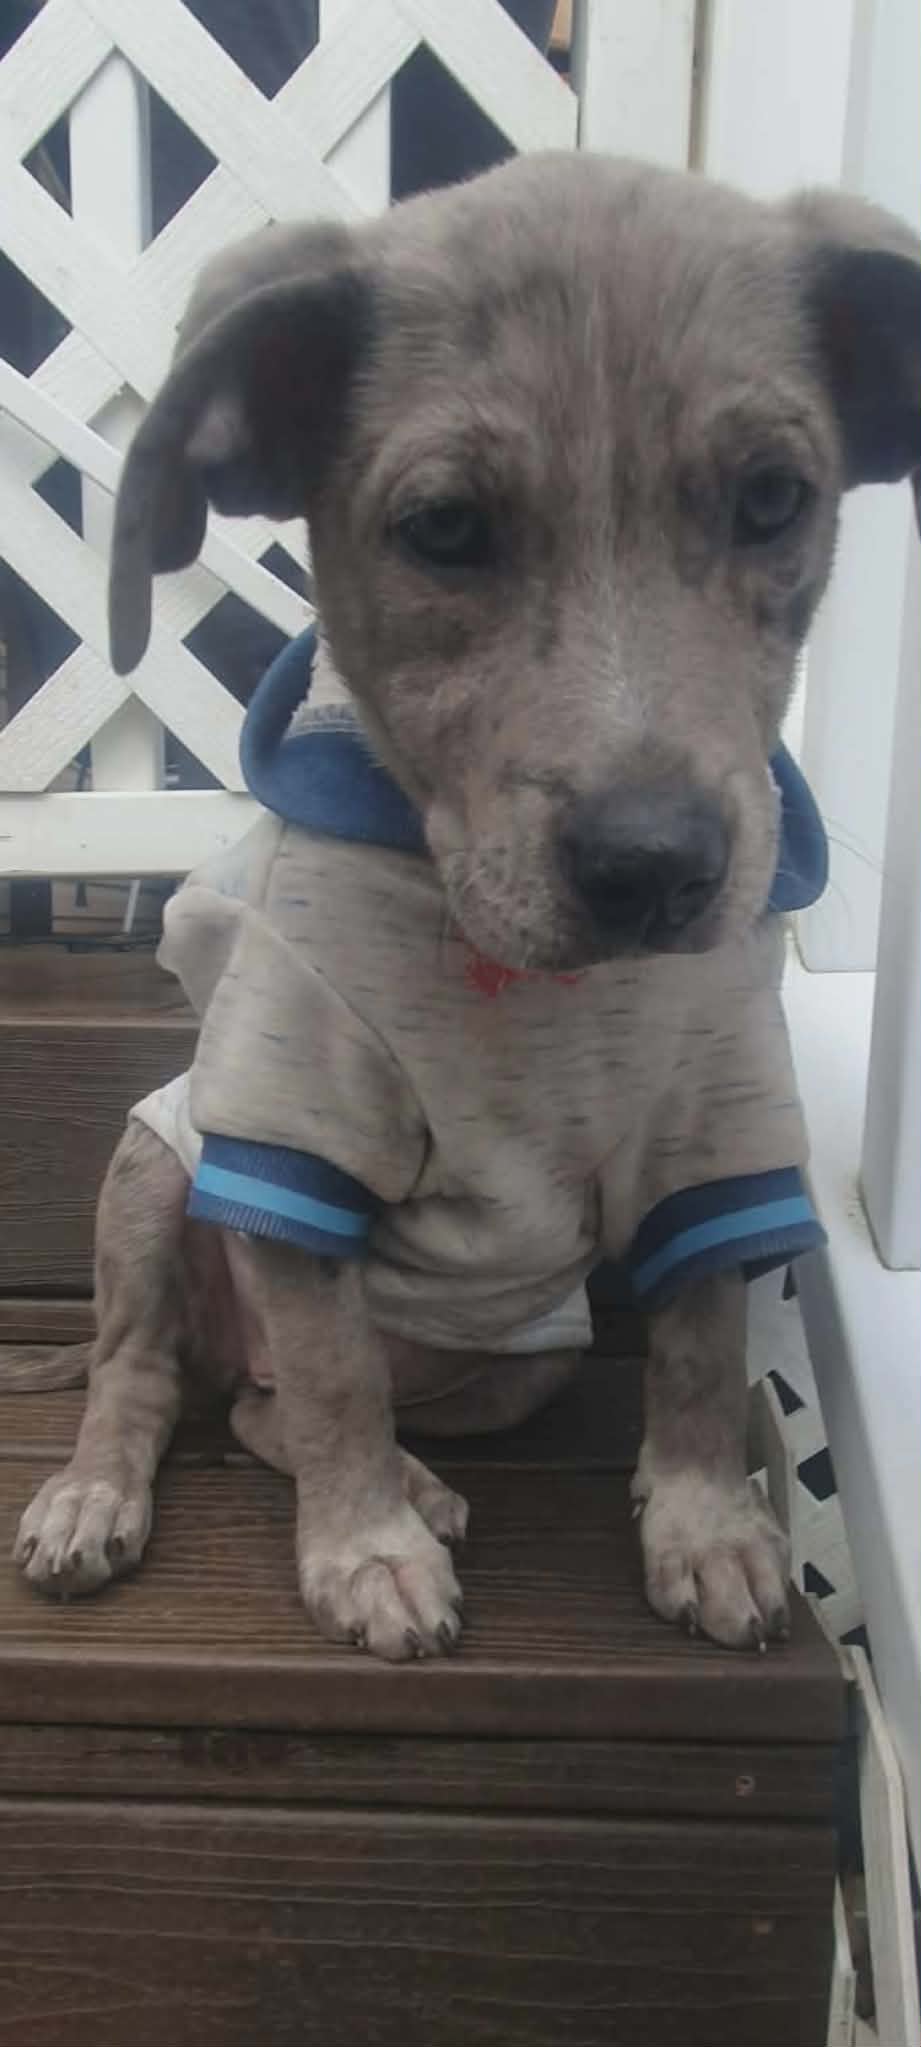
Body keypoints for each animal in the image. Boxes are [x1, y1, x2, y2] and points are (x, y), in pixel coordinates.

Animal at [14, 152, 920, 1662]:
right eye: (443, 528)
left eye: (774, 499)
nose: (655, 865)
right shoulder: (295, 1134)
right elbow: (334, 1375)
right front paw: (364, 1550)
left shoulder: (720, 1120)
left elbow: (700, 1341)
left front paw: (704, 1524)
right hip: (152, 1169)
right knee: (159, 1376)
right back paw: (112, 1493)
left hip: (528, 1361)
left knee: (260, 1404)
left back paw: (420, 1477)